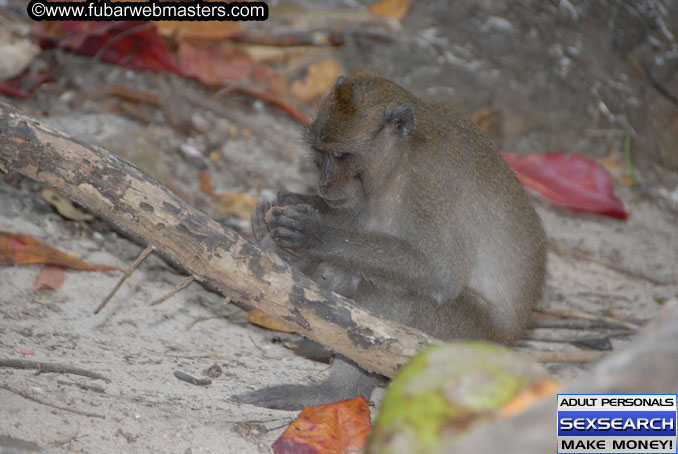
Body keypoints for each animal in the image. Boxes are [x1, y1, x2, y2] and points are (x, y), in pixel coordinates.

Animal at [236, 71, 548, 412]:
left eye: (340, 155)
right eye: (321, 153)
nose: (323, 183)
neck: (402, 159)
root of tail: (506, 344)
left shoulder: (431, 185)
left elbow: (440, 273)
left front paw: (316, 234)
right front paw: (299, 212)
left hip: (459, 340)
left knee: (398, 293)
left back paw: (336, 393)